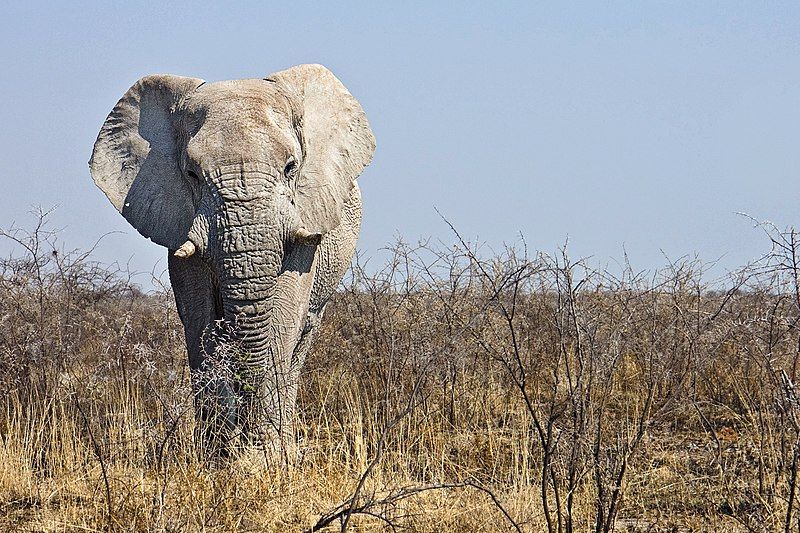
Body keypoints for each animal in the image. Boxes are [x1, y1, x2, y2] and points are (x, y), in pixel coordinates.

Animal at [89, 64, 376, 460]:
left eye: (291, 167)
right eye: (192, 174)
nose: (249, 440)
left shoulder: (305, 217)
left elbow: (283, 315)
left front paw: (267, 459)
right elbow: (199, 318)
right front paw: (218, 457)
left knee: (302, 338)